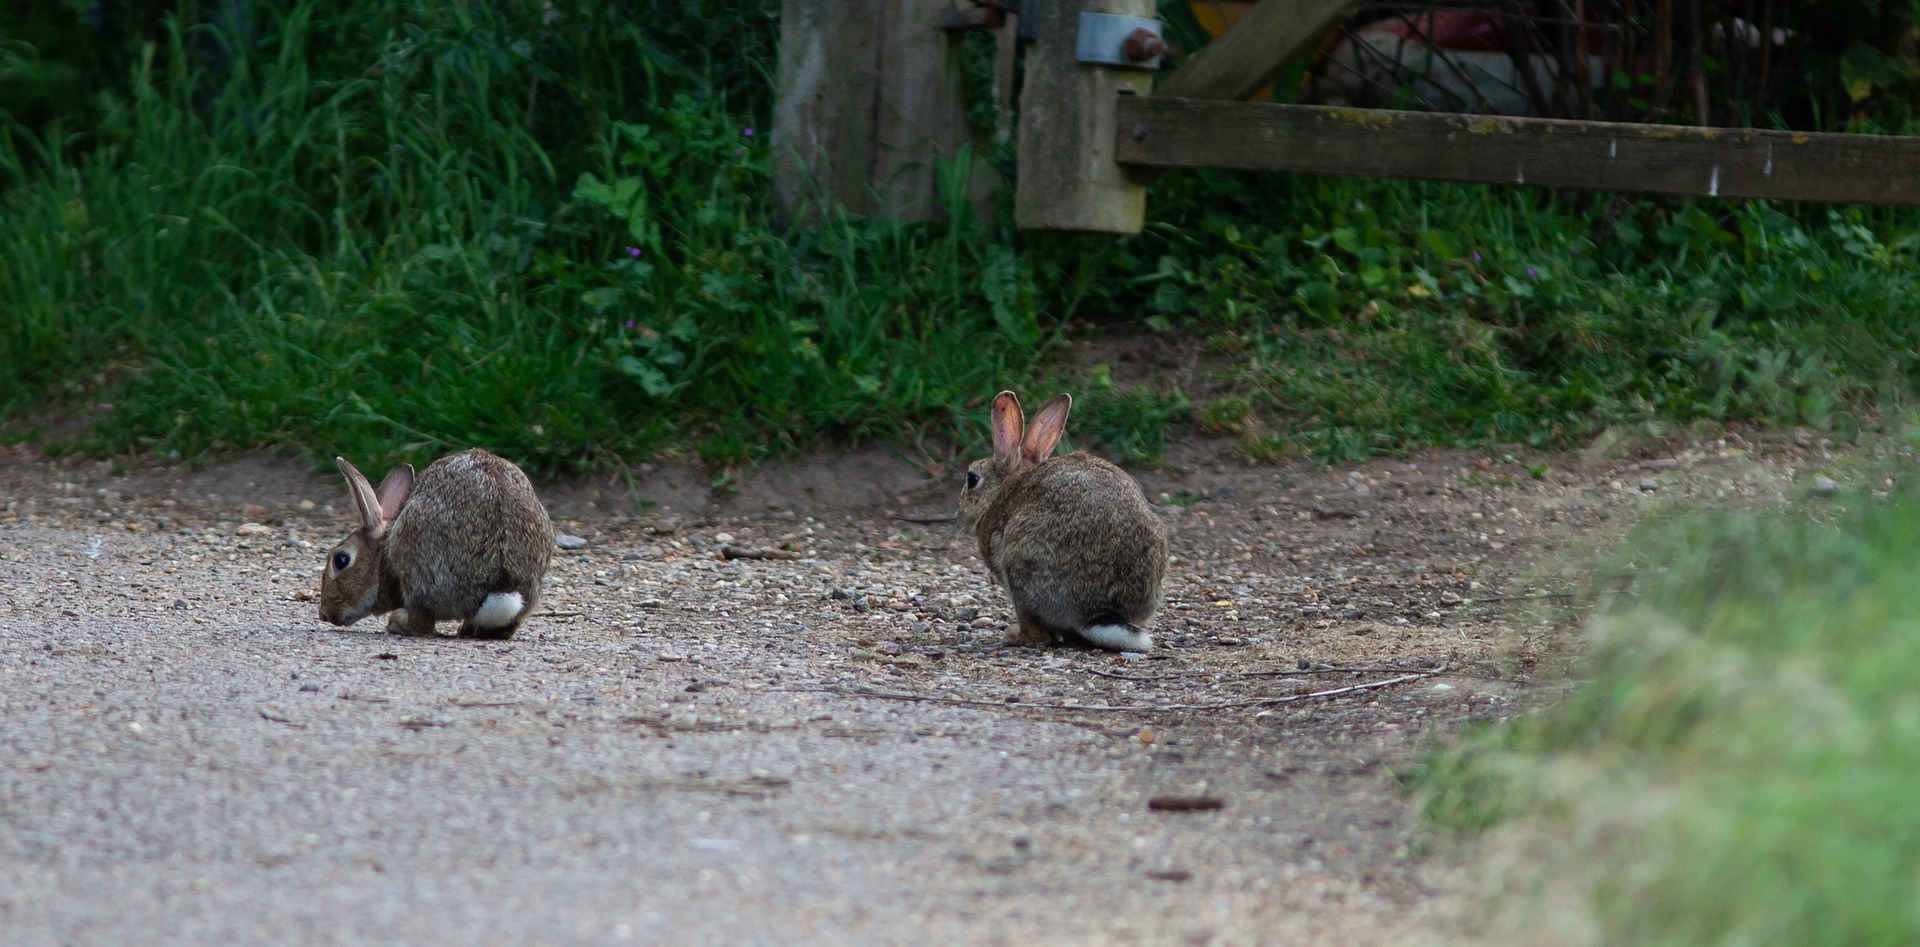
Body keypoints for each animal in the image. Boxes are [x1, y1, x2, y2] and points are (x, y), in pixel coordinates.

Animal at [320, 447, 556, 637]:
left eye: (341, 560)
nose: (324, 614)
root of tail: (500, 584)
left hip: (413, 560)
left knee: (422, 625)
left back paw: (398, 623)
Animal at [960, 386, 1167, 649]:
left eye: (972, 479)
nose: (959, 512)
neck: (1002, 488)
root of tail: (1096, 613)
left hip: (1021, 562)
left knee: (1037, 632)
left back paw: (1013, 635)